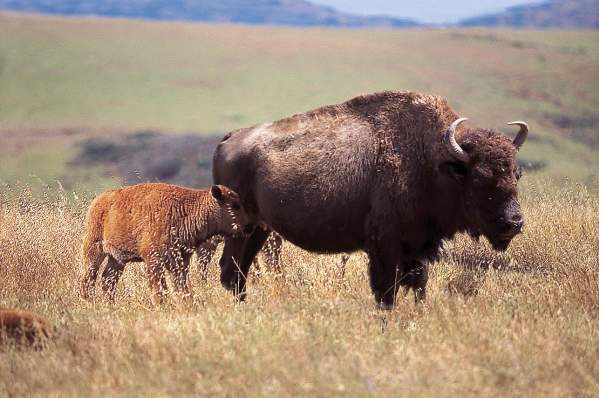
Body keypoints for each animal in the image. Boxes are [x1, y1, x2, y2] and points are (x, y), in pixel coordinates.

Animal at [80, 183, 251, 304]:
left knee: (108, 280)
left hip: (117, 259)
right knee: (88, 279)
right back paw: (88, 303)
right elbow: (159, 290)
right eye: (235, 206)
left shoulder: (181, 260)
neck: (189, 208)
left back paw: (111, 305)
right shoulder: (153, 260)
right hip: (94, 250)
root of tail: (98, 202)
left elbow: (181, 285)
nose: (248, 226)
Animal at [212, 91, 528, 308]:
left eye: (517, 173)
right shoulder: (384, 246)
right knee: (230, 272)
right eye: (479, 177)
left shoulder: (418, 247)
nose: (513, 222)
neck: (431, 161)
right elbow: (386, 294)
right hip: (242, 230)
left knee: (239, 273)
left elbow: (419, 287)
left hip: (260, 230)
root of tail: (229, 139)